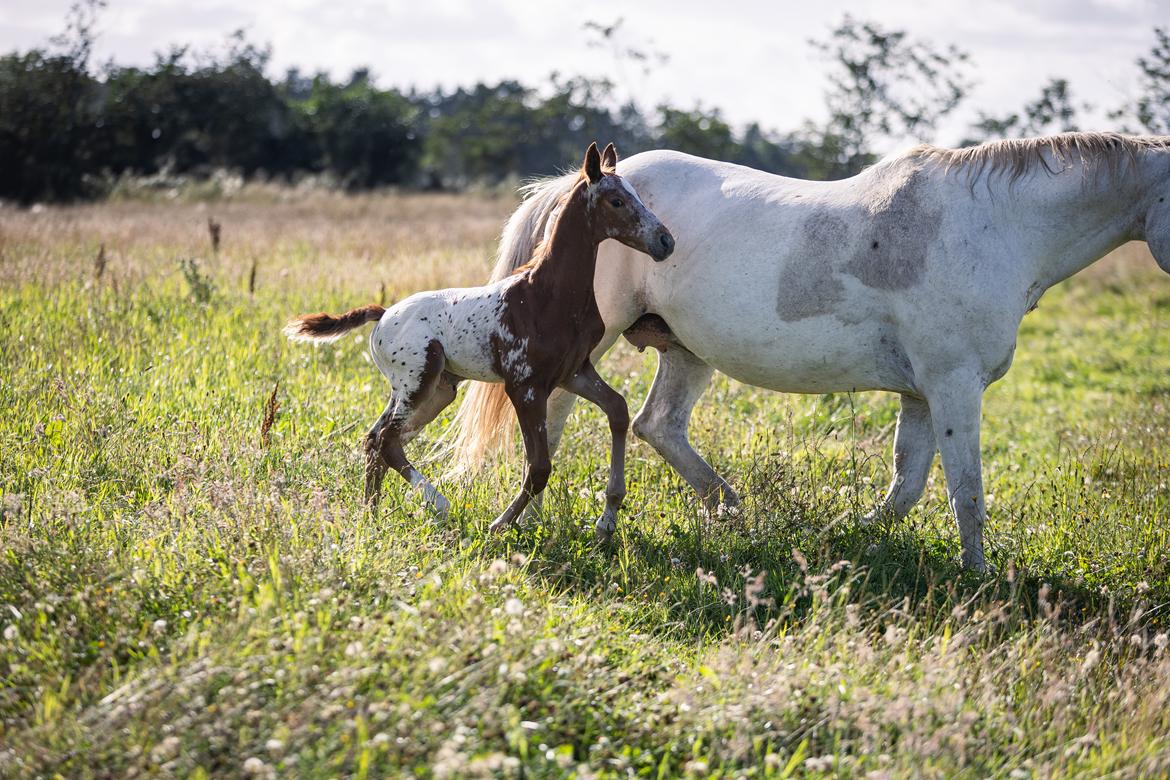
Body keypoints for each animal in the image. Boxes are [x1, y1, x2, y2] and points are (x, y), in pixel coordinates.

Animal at [285, 143, 678, 537]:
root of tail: (382, 315)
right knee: (386, 441)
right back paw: (437, 503)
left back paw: (372, 514)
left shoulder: (574, 372)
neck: (548, 294)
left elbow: (617, 409)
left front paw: (609, 512)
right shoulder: (525, 387)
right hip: (417, 385)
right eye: (616, 201)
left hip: (433, 391)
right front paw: (499, 525)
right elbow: (539, 467)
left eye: (636, 194)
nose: (665, 241)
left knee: (375, 439)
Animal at [453, 132, 1170, 573]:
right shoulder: (954, 385)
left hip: (685, 349)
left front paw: (844, 539)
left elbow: (907, 486)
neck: (991, 226)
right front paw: (981, 577)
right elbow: (966, 490)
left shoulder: (920, 393)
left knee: (659, 426)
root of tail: (574, 186)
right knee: (557, 419)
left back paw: (733, 514)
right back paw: (533, 522)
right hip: (591, 343)